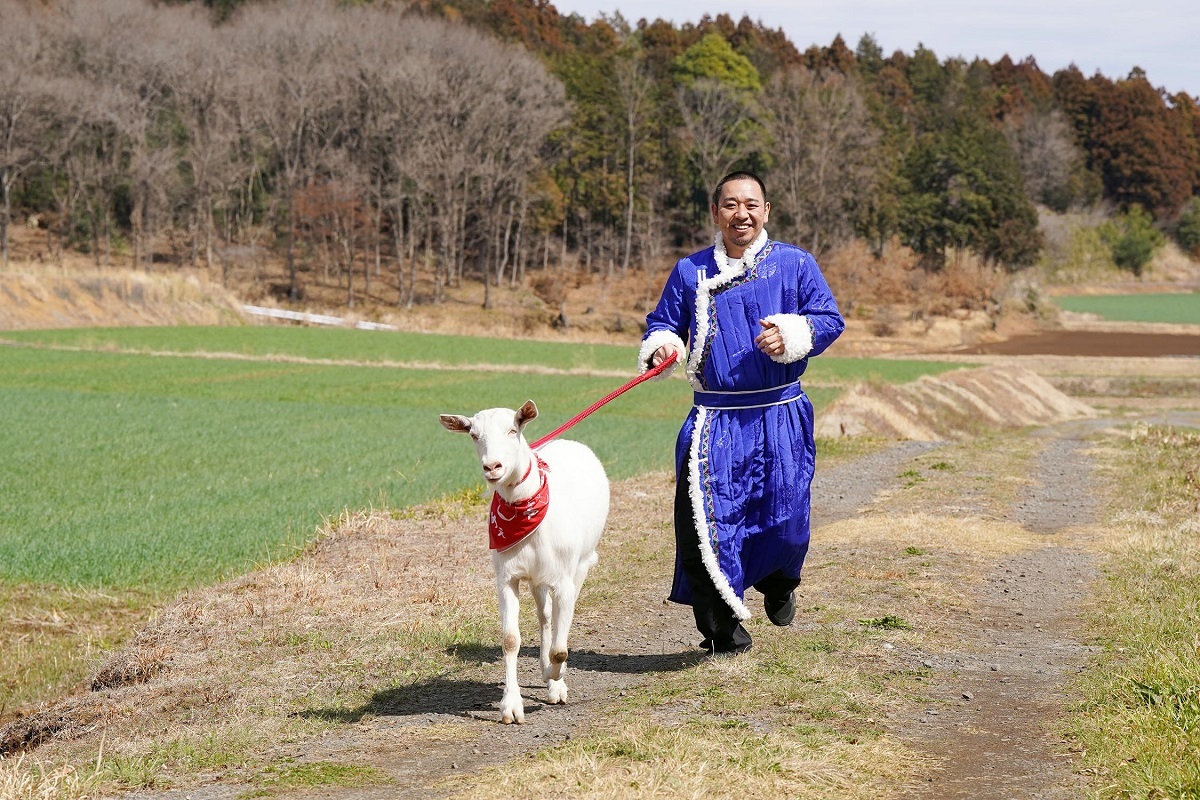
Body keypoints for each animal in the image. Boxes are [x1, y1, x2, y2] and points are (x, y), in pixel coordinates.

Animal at [439, 400, 609, 724]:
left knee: (561, 618)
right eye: (473, 435)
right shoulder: (508, 577)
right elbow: (510, 640)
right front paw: (511, 706)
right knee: (545, 616)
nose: (492, 467)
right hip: (537, 576)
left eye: (512, 429)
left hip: (580, 562)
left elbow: (560, 649)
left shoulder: (564, 579)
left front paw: (555, 680)